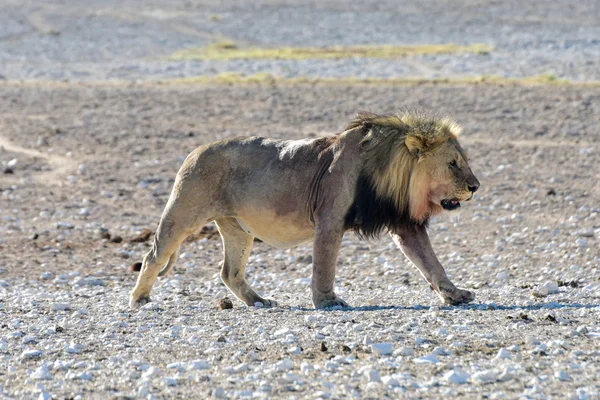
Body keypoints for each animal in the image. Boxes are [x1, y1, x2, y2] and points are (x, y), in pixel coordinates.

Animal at [129, 111, 480, 310]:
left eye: (464, 161)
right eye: (453, 163)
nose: (475, 186)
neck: (391, 171)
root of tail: (195, 150)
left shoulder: (405, 223)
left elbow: (431, 263)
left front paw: (455, 295)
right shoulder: (329, 219)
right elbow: (324, 266)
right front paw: (328, 302)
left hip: (236, 229)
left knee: (229, 272)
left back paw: (259, 301)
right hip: (183, 212)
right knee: (153, 255)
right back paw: (140, 299)